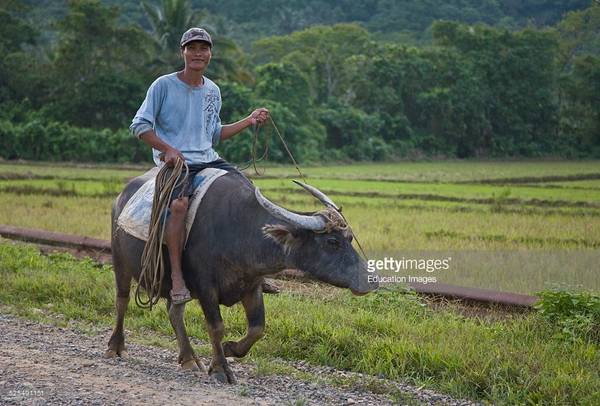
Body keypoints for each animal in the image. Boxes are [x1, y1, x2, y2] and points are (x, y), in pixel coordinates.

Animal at [105, 169, 378, 384]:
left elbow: (257, 328)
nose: (371, 281)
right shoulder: (206, 287)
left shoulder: (251, 285)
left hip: (176, 283)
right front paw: (220, 369)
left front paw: (230, 348)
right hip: (120, 261)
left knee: (175, 311)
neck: (239, 229)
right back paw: (115, 346)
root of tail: (120, 198)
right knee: (122, 300)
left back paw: (189, 358)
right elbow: (216, 327)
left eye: (349, 238)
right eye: (332, 242)